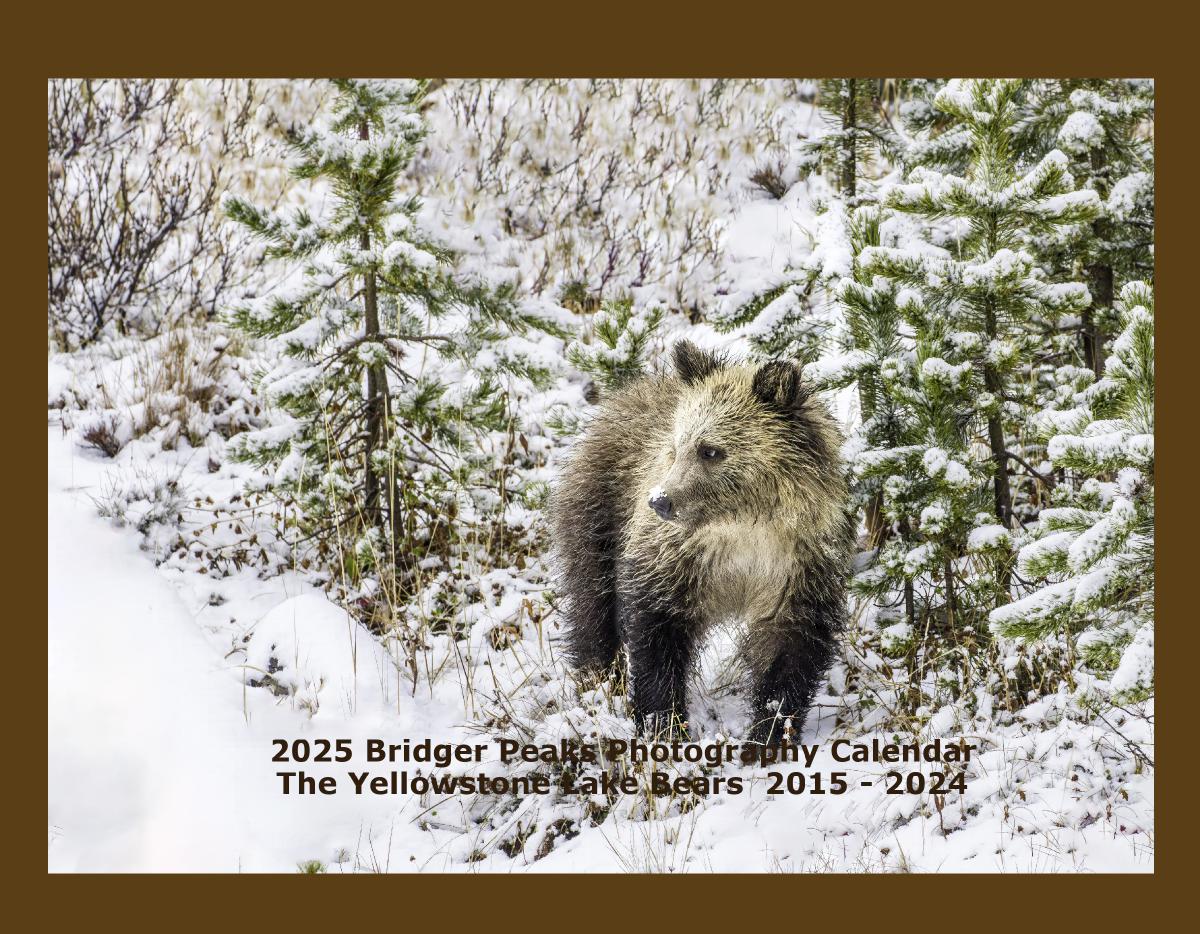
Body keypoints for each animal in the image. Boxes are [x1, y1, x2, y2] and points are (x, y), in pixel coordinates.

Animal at [550, 340, 854, 744]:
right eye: (678, 446)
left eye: (710, 450)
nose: (660, 501)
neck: (743, 527)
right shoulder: (676, 560)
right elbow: (658, 632)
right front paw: (663, 723)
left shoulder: (798, 566)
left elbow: (789, 650)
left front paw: (770, 730)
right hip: (599, 512)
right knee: (592, 602)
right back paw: (596, 681)